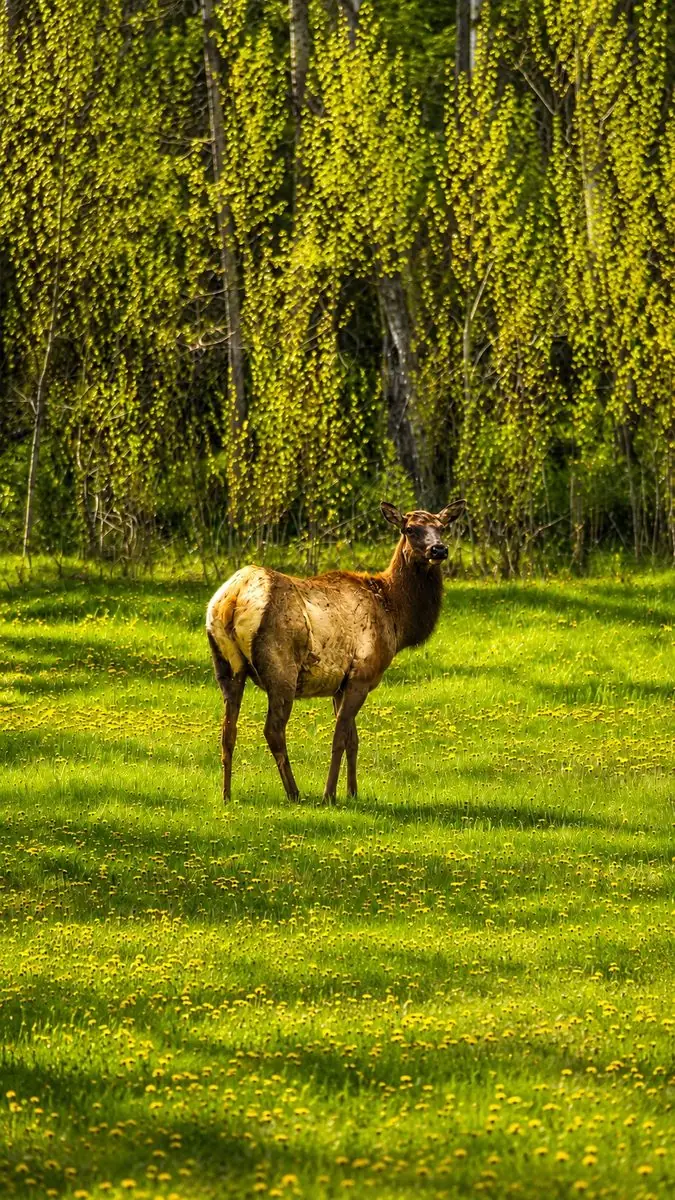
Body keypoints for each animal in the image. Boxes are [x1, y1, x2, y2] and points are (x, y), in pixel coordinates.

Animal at [206, 499, 465, 803]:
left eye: (442, 527)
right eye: (410, 529)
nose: (439, 549)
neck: (396, 618)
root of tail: (233, 599)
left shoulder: (341, 683)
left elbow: (354, 739)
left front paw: (353, 792)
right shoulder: (362, 674)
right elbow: (340, 737)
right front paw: (329, 794)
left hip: (226, 665)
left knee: (227, 729)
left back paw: (226, 794)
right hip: (282, 668)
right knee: (273, 730)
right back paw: (294, 792)